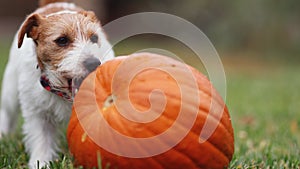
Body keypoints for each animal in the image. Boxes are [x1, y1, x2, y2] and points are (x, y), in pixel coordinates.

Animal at [0, 0, 115, 167]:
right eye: (62, 40)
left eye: (94, 38)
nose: (94, 63)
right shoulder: (38, 114)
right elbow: (41, 141)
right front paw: (40, 163)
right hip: (10, 90)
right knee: (7, 112)